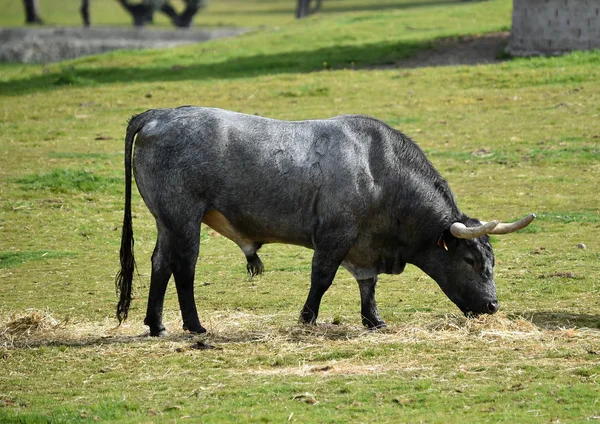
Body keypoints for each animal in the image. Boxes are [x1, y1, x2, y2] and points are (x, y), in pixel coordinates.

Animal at [116, 105, 536, 334]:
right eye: (470, 260)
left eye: (491, 261)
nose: (492, 305)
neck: (380, 170)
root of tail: (160, 116)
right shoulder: (335, 235)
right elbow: (322, 277)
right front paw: (307, 318)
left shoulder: (364, 246)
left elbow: (368, 284)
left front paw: (374, 319)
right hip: (184, 217)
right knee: (183, 267)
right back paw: (194, 324)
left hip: (166, 221)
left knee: (159, 263)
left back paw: (156, 323)